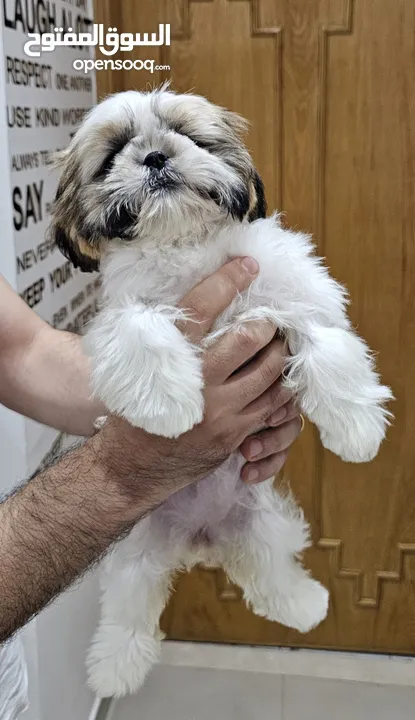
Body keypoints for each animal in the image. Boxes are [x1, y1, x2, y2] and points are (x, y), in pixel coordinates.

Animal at [48, 86, 394, 696]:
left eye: (189, 136)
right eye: (112, 155)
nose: (155, 156)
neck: (183, 244)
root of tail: (201, 536)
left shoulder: (291, 293)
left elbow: (325, 340)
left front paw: (355, 429)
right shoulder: (116, 316)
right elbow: (137, 325)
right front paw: (169, 404)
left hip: (260, 523)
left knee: (271, 570)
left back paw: (304, 605)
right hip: (136, 550)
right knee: (129, 607)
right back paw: (115, 665)